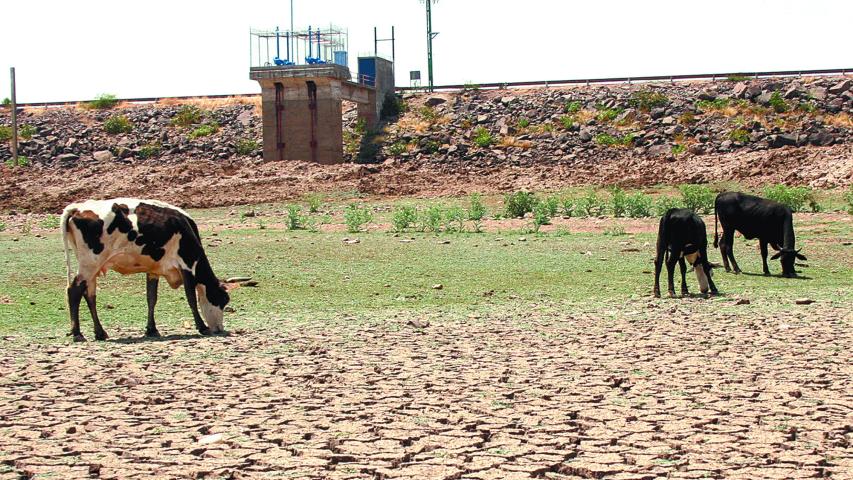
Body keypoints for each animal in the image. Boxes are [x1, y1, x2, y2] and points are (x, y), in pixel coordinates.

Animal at [61, 198, 231, 342]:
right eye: (223, 300)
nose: (219, 328)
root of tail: (77, 208)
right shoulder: (187, 266)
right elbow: (191, 298)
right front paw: (202, 327)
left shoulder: (153, 271)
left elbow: (151, 298)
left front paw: (152, 329)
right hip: (90, 264)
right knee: (74, 291)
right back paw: (77, 334)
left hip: (92, 268)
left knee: (90, 296)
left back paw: (100, 332)